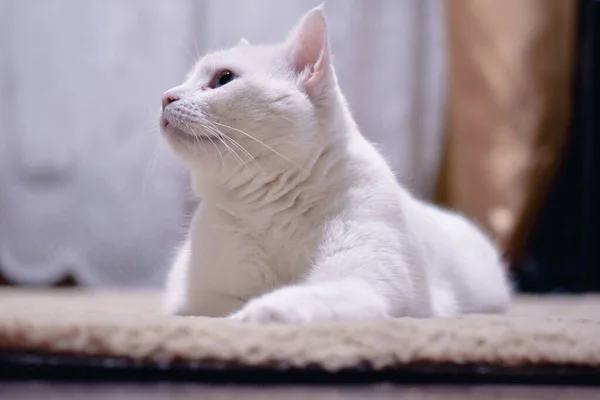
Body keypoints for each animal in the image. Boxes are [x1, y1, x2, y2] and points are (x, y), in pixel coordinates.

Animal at [159, 6, 510, 324]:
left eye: (224, 78)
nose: (165, 97)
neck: (272, 208)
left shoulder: (363, 279)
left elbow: (298, 296)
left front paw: (257, 313)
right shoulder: (201, 295)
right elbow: (227, 302)